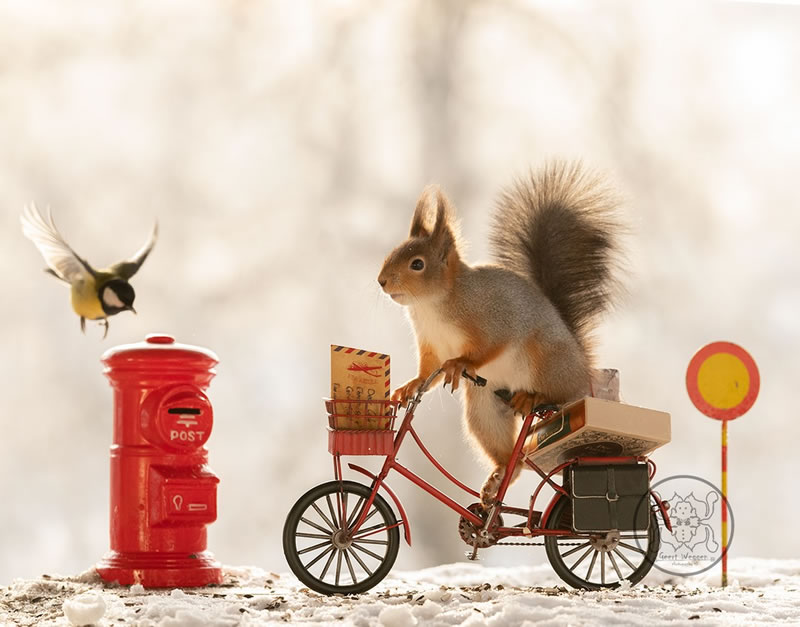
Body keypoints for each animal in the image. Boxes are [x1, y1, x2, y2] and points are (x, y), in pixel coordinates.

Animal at [378, 162, 620, 510]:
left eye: (417, 264)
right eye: (392, 252)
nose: (382, 281)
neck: (431, 305)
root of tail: (583, 369)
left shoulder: (493, 320)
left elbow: (488, 348)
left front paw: (459, 364)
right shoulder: (431, 344)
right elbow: (428, 371)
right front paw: (411, 385)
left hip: (546, 360)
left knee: (558, 394)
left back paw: (533, 397)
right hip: (484, 409)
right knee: (511, 460)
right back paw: (499, 475)